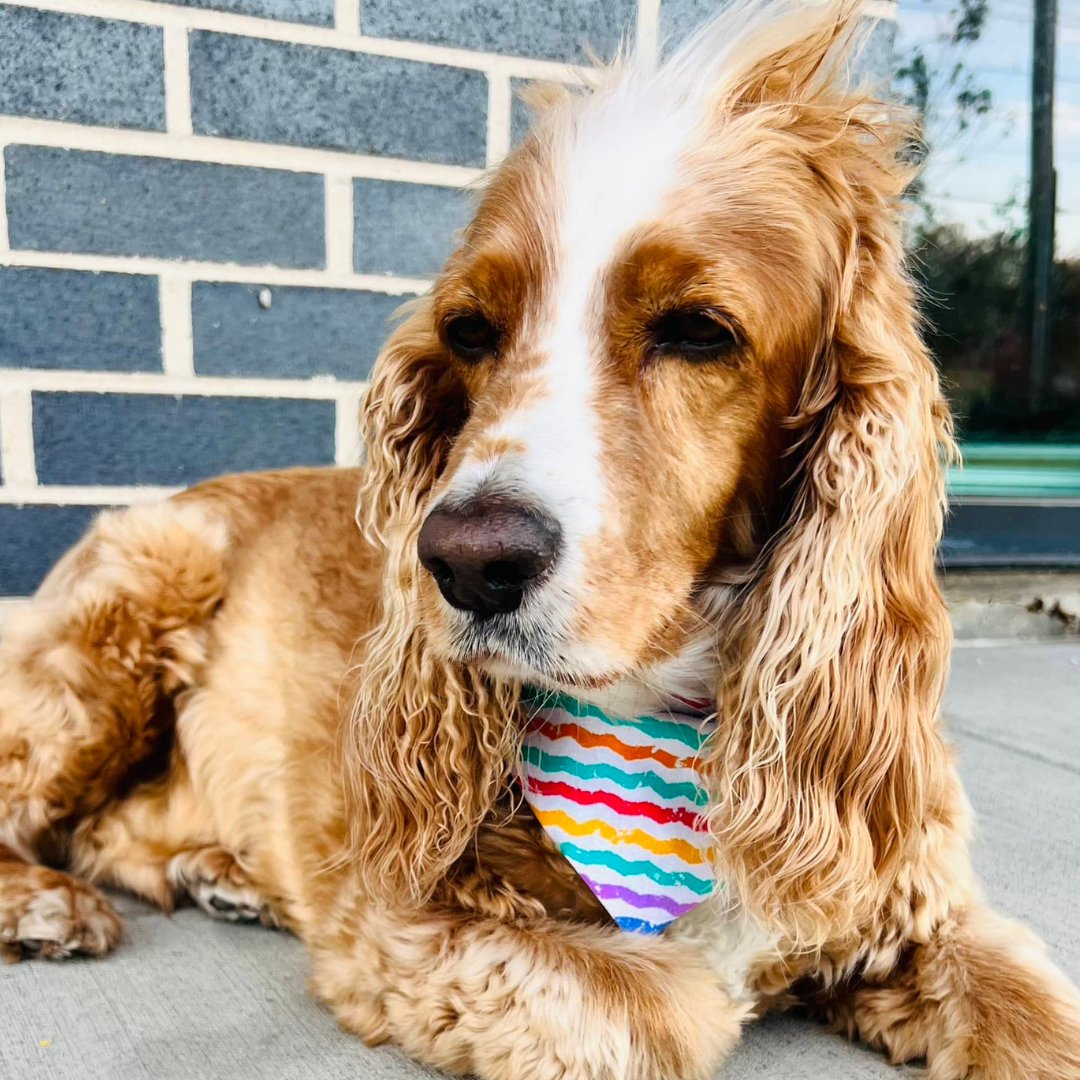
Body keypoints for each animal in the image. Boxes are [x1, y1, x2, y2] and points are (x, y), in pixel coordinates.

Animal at [2, 4, 1080, 1075]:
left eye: (699, 330)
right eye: (471, 331)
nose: (466, 561)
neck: (674, 713)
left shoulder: (912, 898)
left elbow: (1038, 1013)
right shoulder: (405, 926)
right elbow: (675, 1004)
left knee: (110, 828)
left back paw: (217, 872)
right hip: (131, 604)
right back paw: (48, 904)